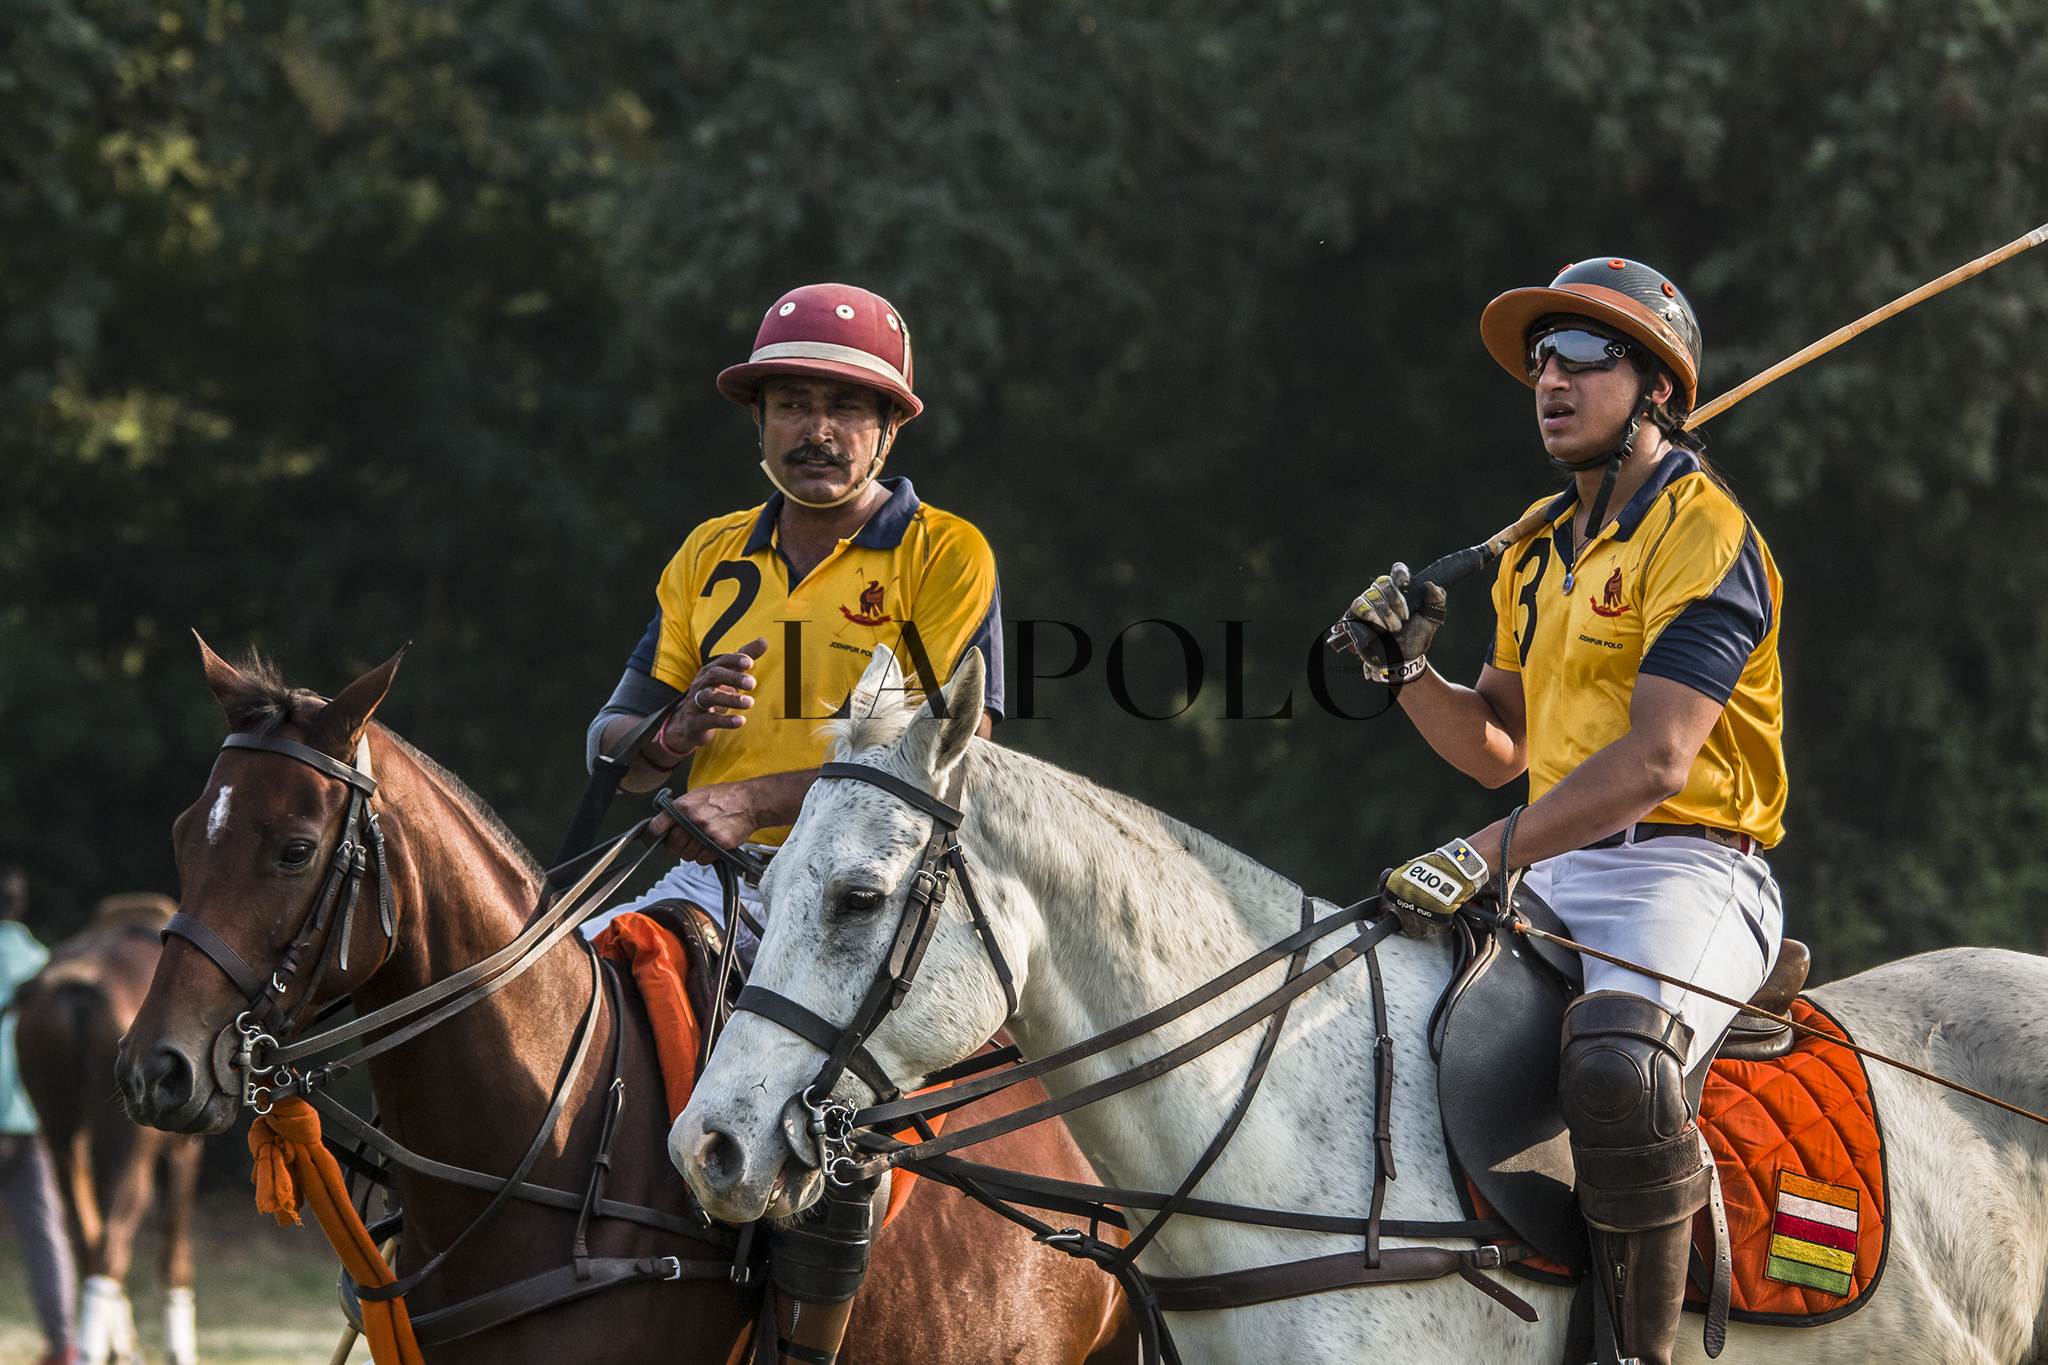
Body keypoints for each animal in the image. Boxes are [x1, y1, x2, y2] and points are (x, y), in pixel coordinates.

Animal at [17, 896, 203, 1365]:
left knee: (88, 1242)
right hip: (131, 1152)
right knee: (110, 1250)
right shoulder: (183, 1152)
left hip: (61, 1139)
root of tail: (79, 985)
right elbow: (174, 1254)